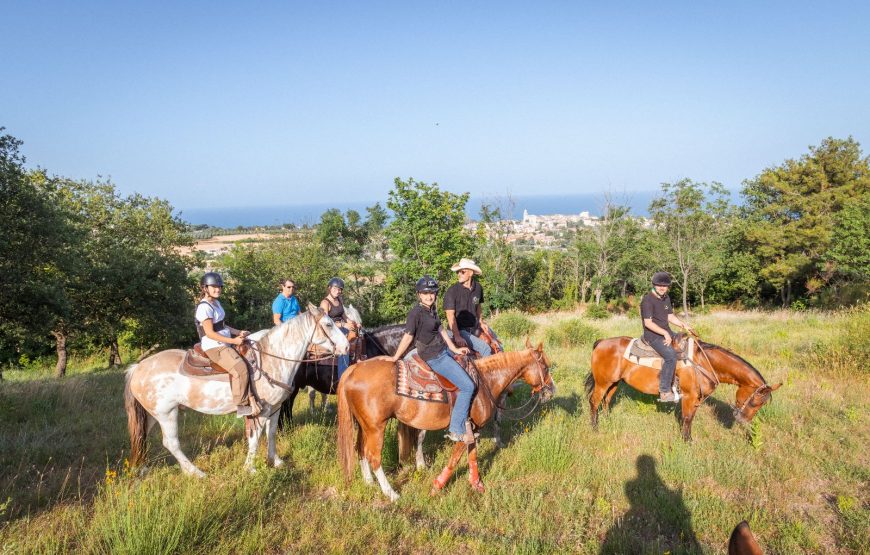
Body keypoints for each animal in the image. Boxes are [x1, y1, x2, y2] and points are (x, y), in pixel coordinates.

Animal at [124, 306, 350, 476]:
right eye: (329, 324)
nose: (347, 346)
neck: (271, 359)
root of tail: (137, 368)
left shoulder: (275, 409)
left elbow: (272, 434)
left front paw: (275, 461)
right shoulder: (260, 411)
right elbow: (255, 438)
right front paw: (250, 468)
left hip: (152, 415)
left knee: (141, 437)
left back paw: (144, 468)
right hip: (167, 413)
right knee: (171, 443)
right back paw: (196, 472)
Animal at [338, 340, 556, 502]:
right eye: (545, 367)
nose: (552, 389)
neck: (485, 380)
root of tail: (353, 369)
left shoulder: (473, 429)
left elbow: (472, 457)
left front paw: (476, 484)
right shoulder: (463, 431)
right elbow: (454, 460)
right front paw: (437, 487)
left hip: (363, 426)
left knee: (360, 450)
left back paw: (369, 482)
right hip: (376, 427)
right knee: (374, 457)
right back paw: (391, 494)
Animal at [584, 334, 784, 444]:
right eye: (756, 402)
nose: (743, 421)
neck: (703, 363)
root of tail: (601, 342)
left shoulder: (696, 399)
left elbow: (690, 419)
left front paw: (687, 438)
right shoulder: (689, 396)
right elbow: (687, 418)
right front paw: (687, 441)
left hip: (614, 382)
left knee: (606, 400)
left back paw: (607, 420)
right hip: (602, 382)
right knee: (594, 401)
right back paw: (594, 428)